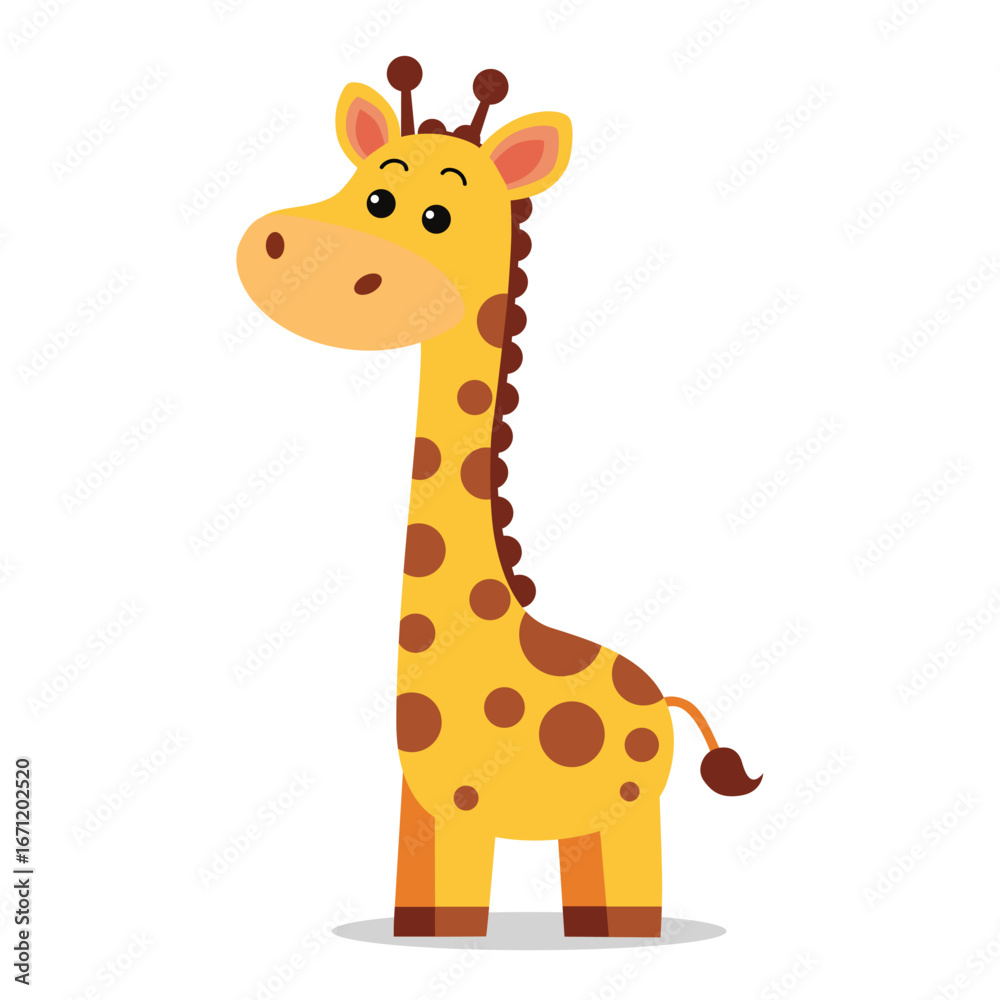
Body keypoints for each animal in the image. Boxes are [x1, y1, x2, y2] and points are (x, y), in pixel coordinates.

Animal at [236, 57, 762, 939]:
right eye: (367, 189)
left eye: (435, 214)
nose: (275, 246)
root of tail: (661, 697)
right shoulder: (422, 808)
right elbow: (419, 898)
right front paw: (418, 933)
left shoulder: (464, 810)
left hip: (628, 813)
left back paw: (620, 933)